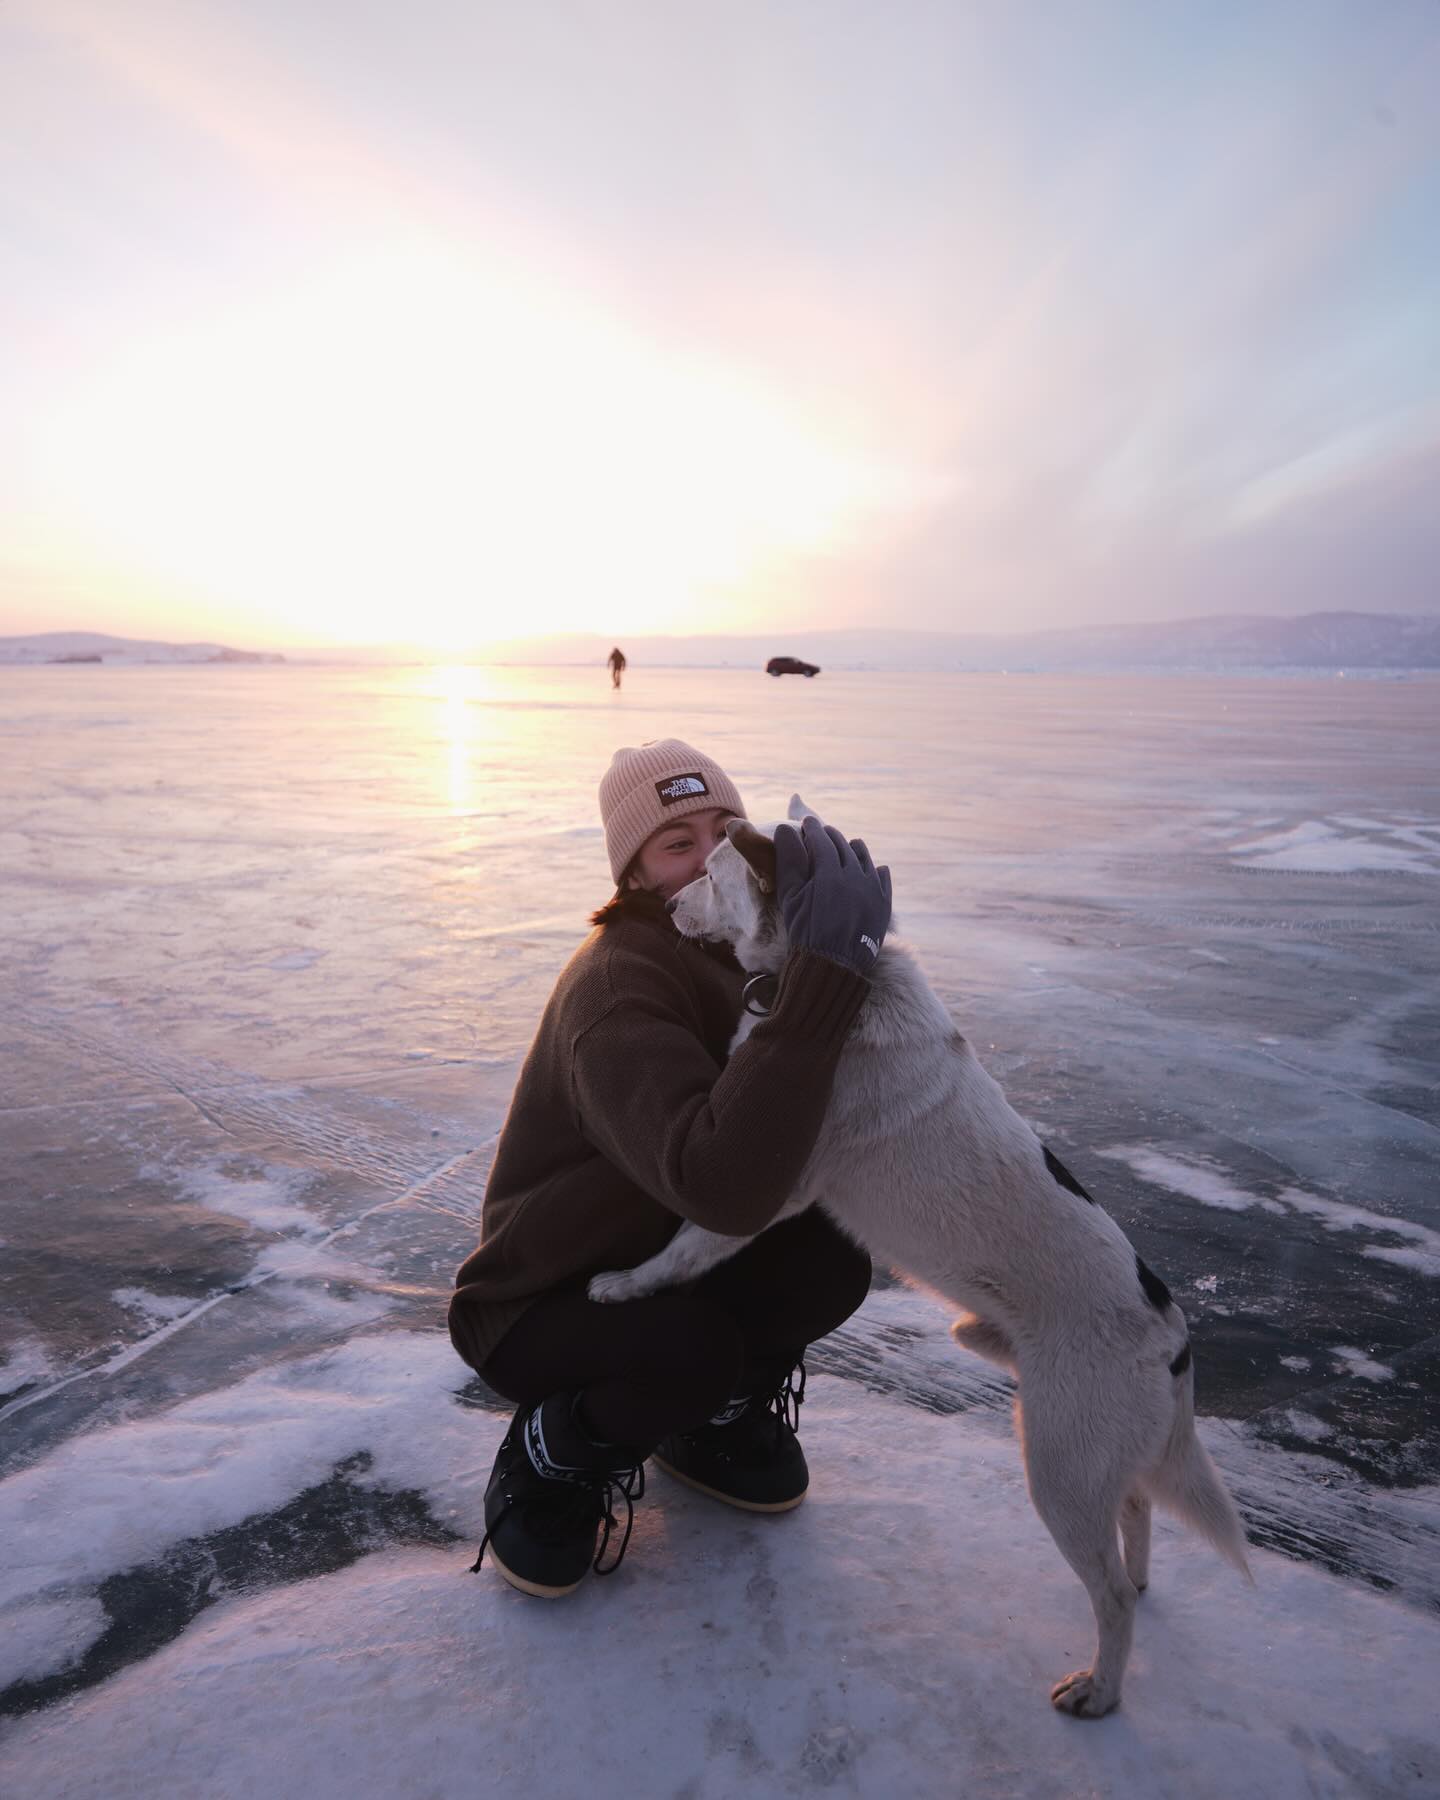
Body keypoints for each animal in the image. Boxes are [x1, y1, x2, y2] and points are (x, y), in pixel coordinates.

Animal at [590, 799, 1252, 1713]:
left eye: (712, 873)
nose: (673, 907)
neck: (838, 982)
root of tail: (1173, 1329)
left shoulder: (765, 1194)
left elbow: (682, 1250)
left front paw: (623, 1285)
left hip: (1057, 1465)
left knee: (1112, 1591)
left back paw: (1100, 1689)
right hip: (1080, 1446)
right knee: (1140, 1515)